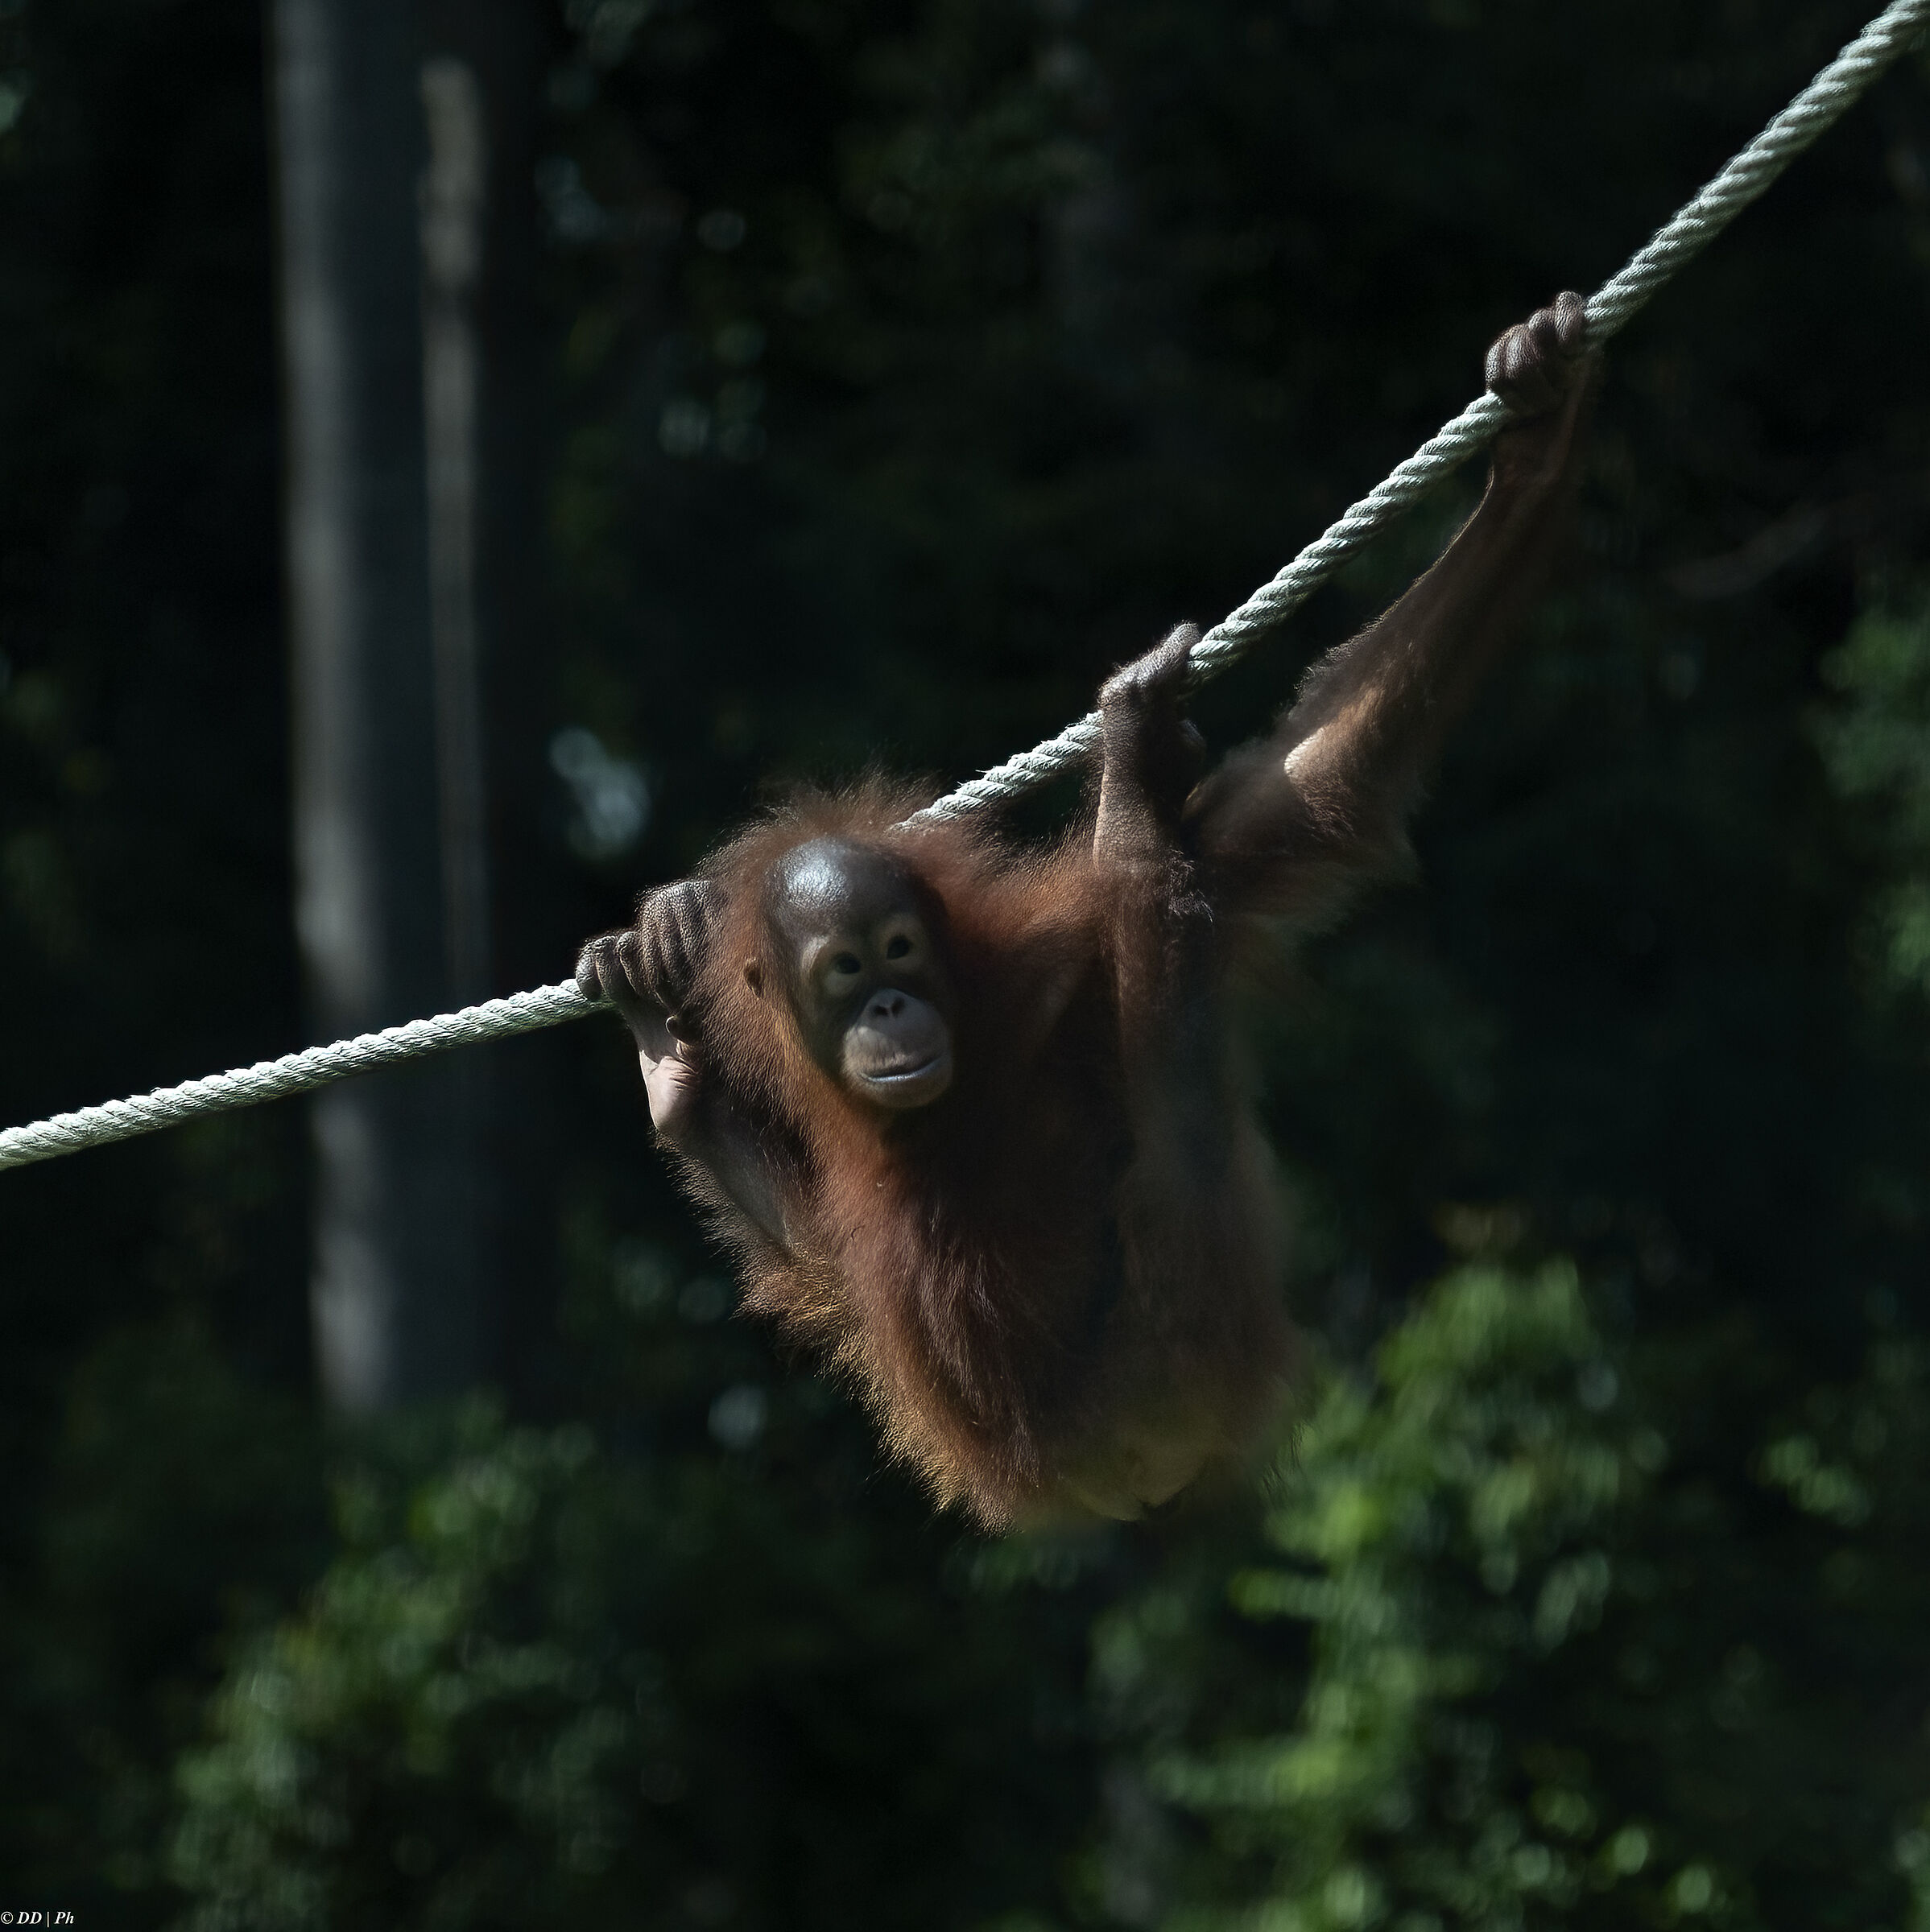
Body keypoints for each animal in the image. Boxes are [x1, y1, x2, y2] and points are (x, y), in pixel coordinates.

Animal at [578, 294, 1598, 1529]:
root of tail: (1152, 1470)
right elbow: (823, 1250)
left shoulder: (1047, 959)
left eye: (901, 951)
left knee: (1173, 1038)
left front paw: (1532, 455)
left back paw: (1134, 798)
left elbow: (1302, 799)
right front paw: (667, 1049)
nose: (890, 1013)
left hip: (1184, 1325)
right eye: (845, 973)